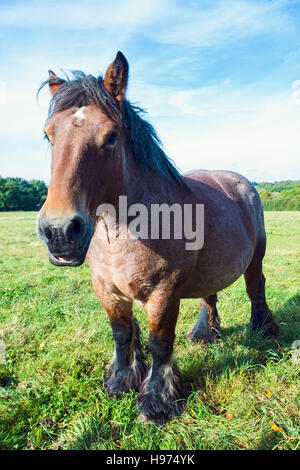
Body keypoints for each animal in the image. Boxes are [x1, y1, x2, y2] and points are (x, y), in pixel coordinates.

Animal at [37, 52, 278, 426]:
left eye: (111, 137)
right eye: (49, 136)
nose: (59, 232)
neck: (122, 231)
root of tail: (241, 183)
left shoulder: (164, 293)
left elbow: (160, 342)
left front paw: (156, 400)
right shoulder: (107, 290)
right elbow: (122, 335)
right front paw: (121, 381)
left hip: (255, 259)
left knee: (256, 289)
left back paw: (263, 329)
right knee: (210, 296)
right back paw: (204, 333)